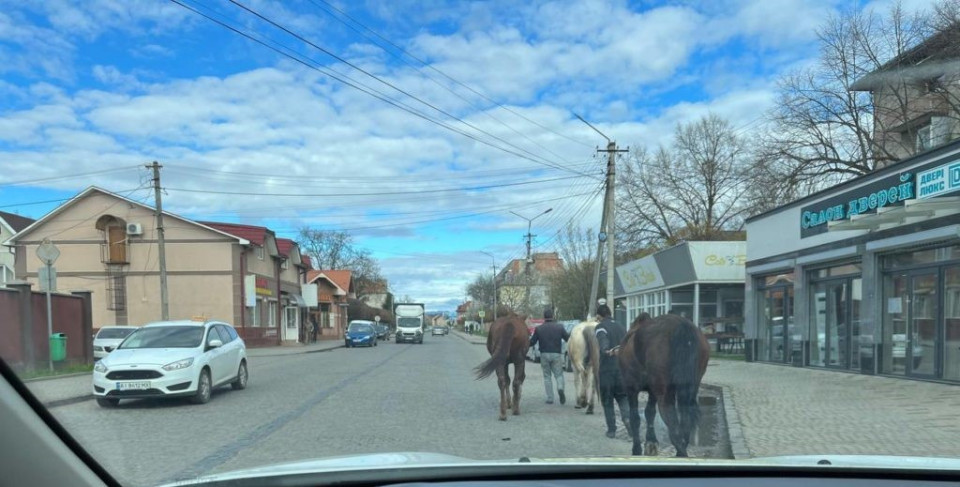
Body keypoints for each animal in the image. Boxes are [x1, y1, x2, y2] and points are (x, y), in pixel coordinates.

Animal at [620, 312, 708, 458]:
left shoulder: (631, 388)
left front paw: (637, 449)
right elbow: (649, 413)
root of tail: (682, 326)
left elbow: (635, 418)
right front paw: (651, 442)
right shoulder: (652, 392)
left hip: (664, 395)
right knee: (685, 424)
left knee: (674, 427)